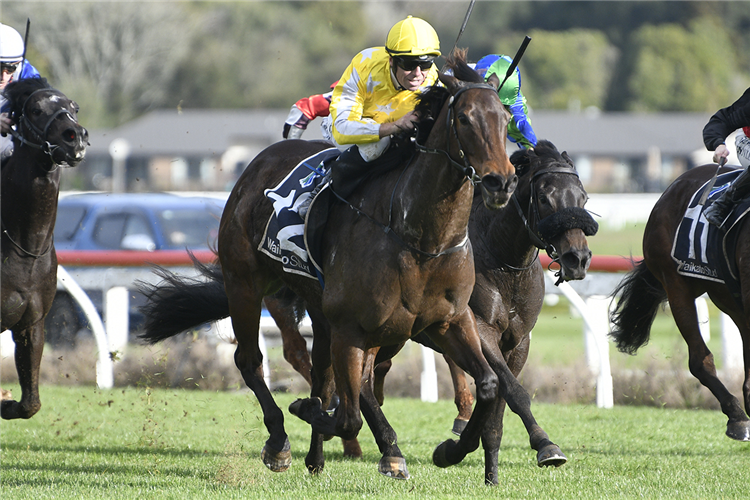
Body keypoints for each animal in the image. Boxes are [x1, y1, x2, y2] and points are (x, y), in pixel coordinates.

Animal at [0, 78, 88, 420]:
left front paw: (7, 401)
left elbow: (31, 404)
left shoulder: (32, 323)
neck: (25, 246)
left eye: (74, 106)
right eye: (36, 109)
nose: (74, 136)